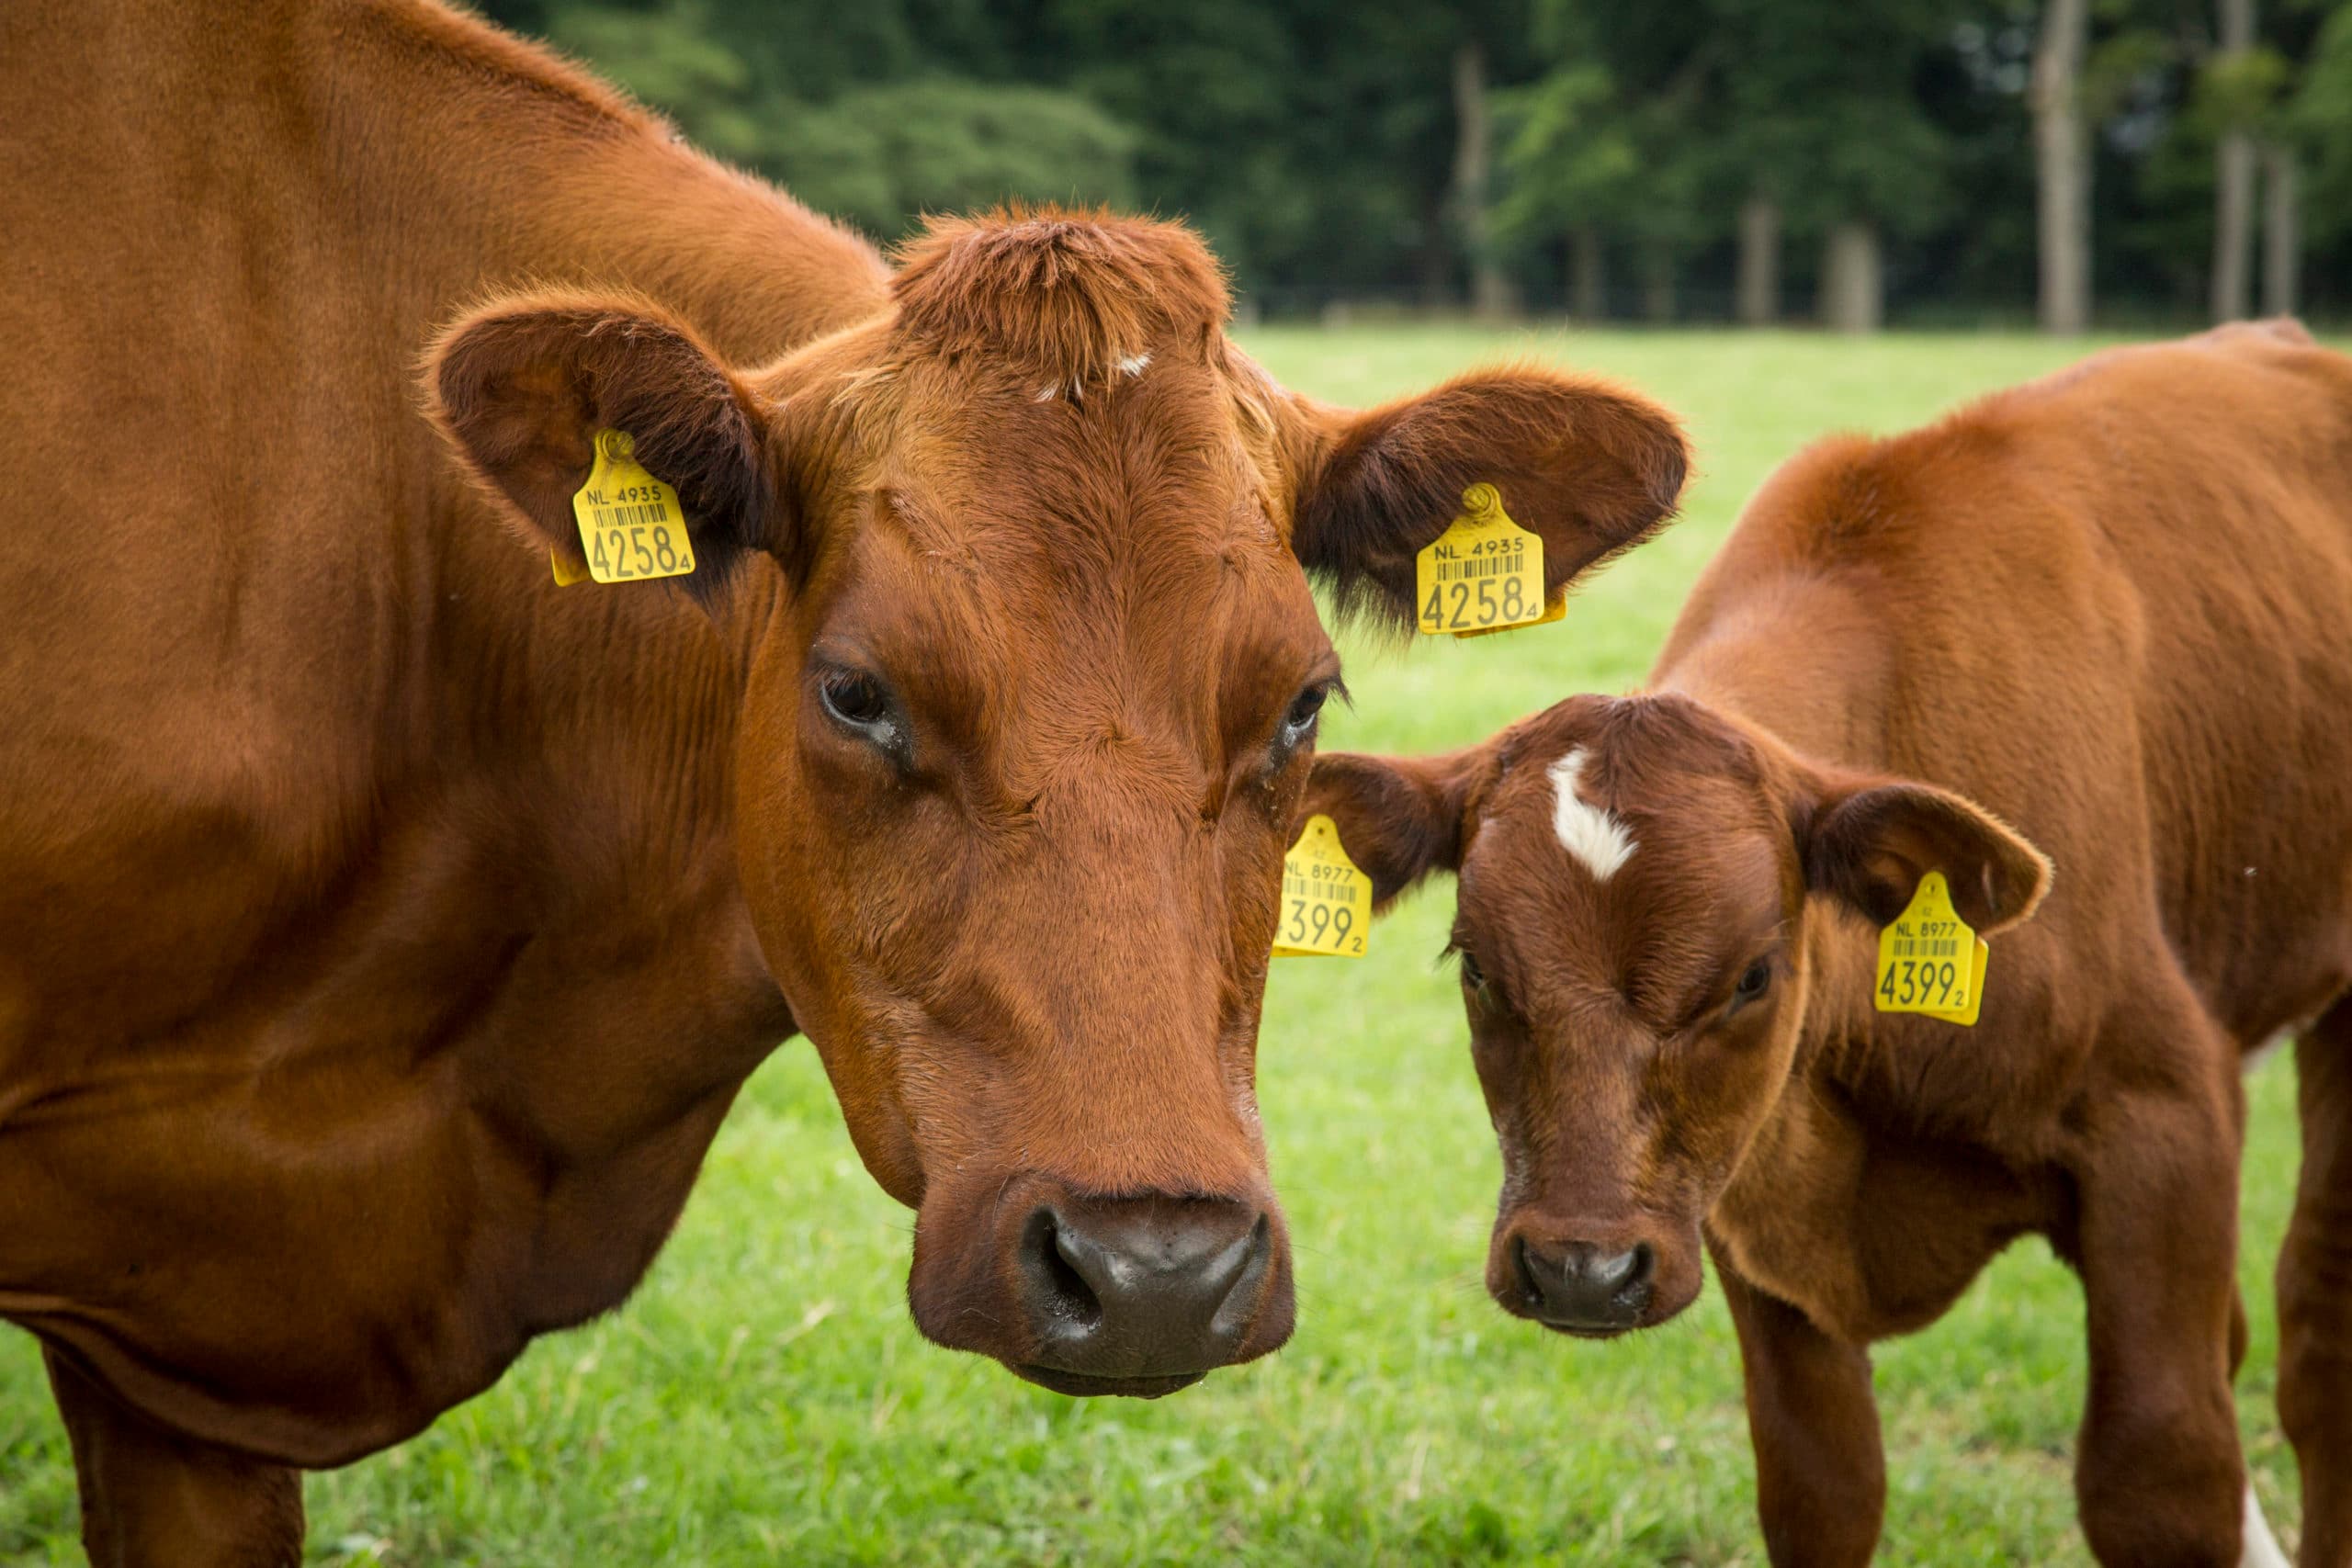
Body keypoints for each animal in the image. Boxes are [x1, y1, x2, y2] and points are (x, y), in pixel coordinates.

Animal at [1304, 323, 2352, 1565]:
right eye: (1473, 966)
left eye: (1753, 976)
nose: (1580, 1270)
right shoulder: (1744, 1205)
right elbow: (1822, 1486)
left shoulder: (2166, 1121)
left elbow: (2160, 1471)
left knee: (2318, 1338)